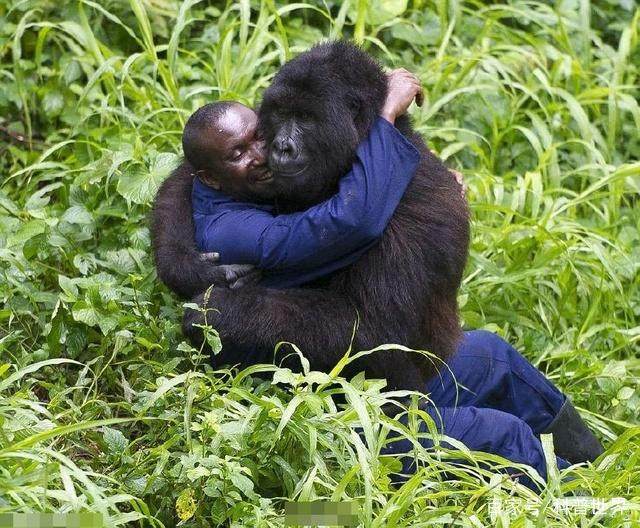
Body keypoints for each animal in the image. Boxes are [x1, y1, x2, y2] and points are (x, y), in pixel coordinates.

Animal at [152, 42, 468, 392]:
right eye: (280, 114)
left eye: (305, 118)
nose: (281, 147)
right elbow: (186, 177)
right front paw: (185, 265)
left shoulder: (411, 217)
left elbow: (376, 335)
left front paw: (217, 311)